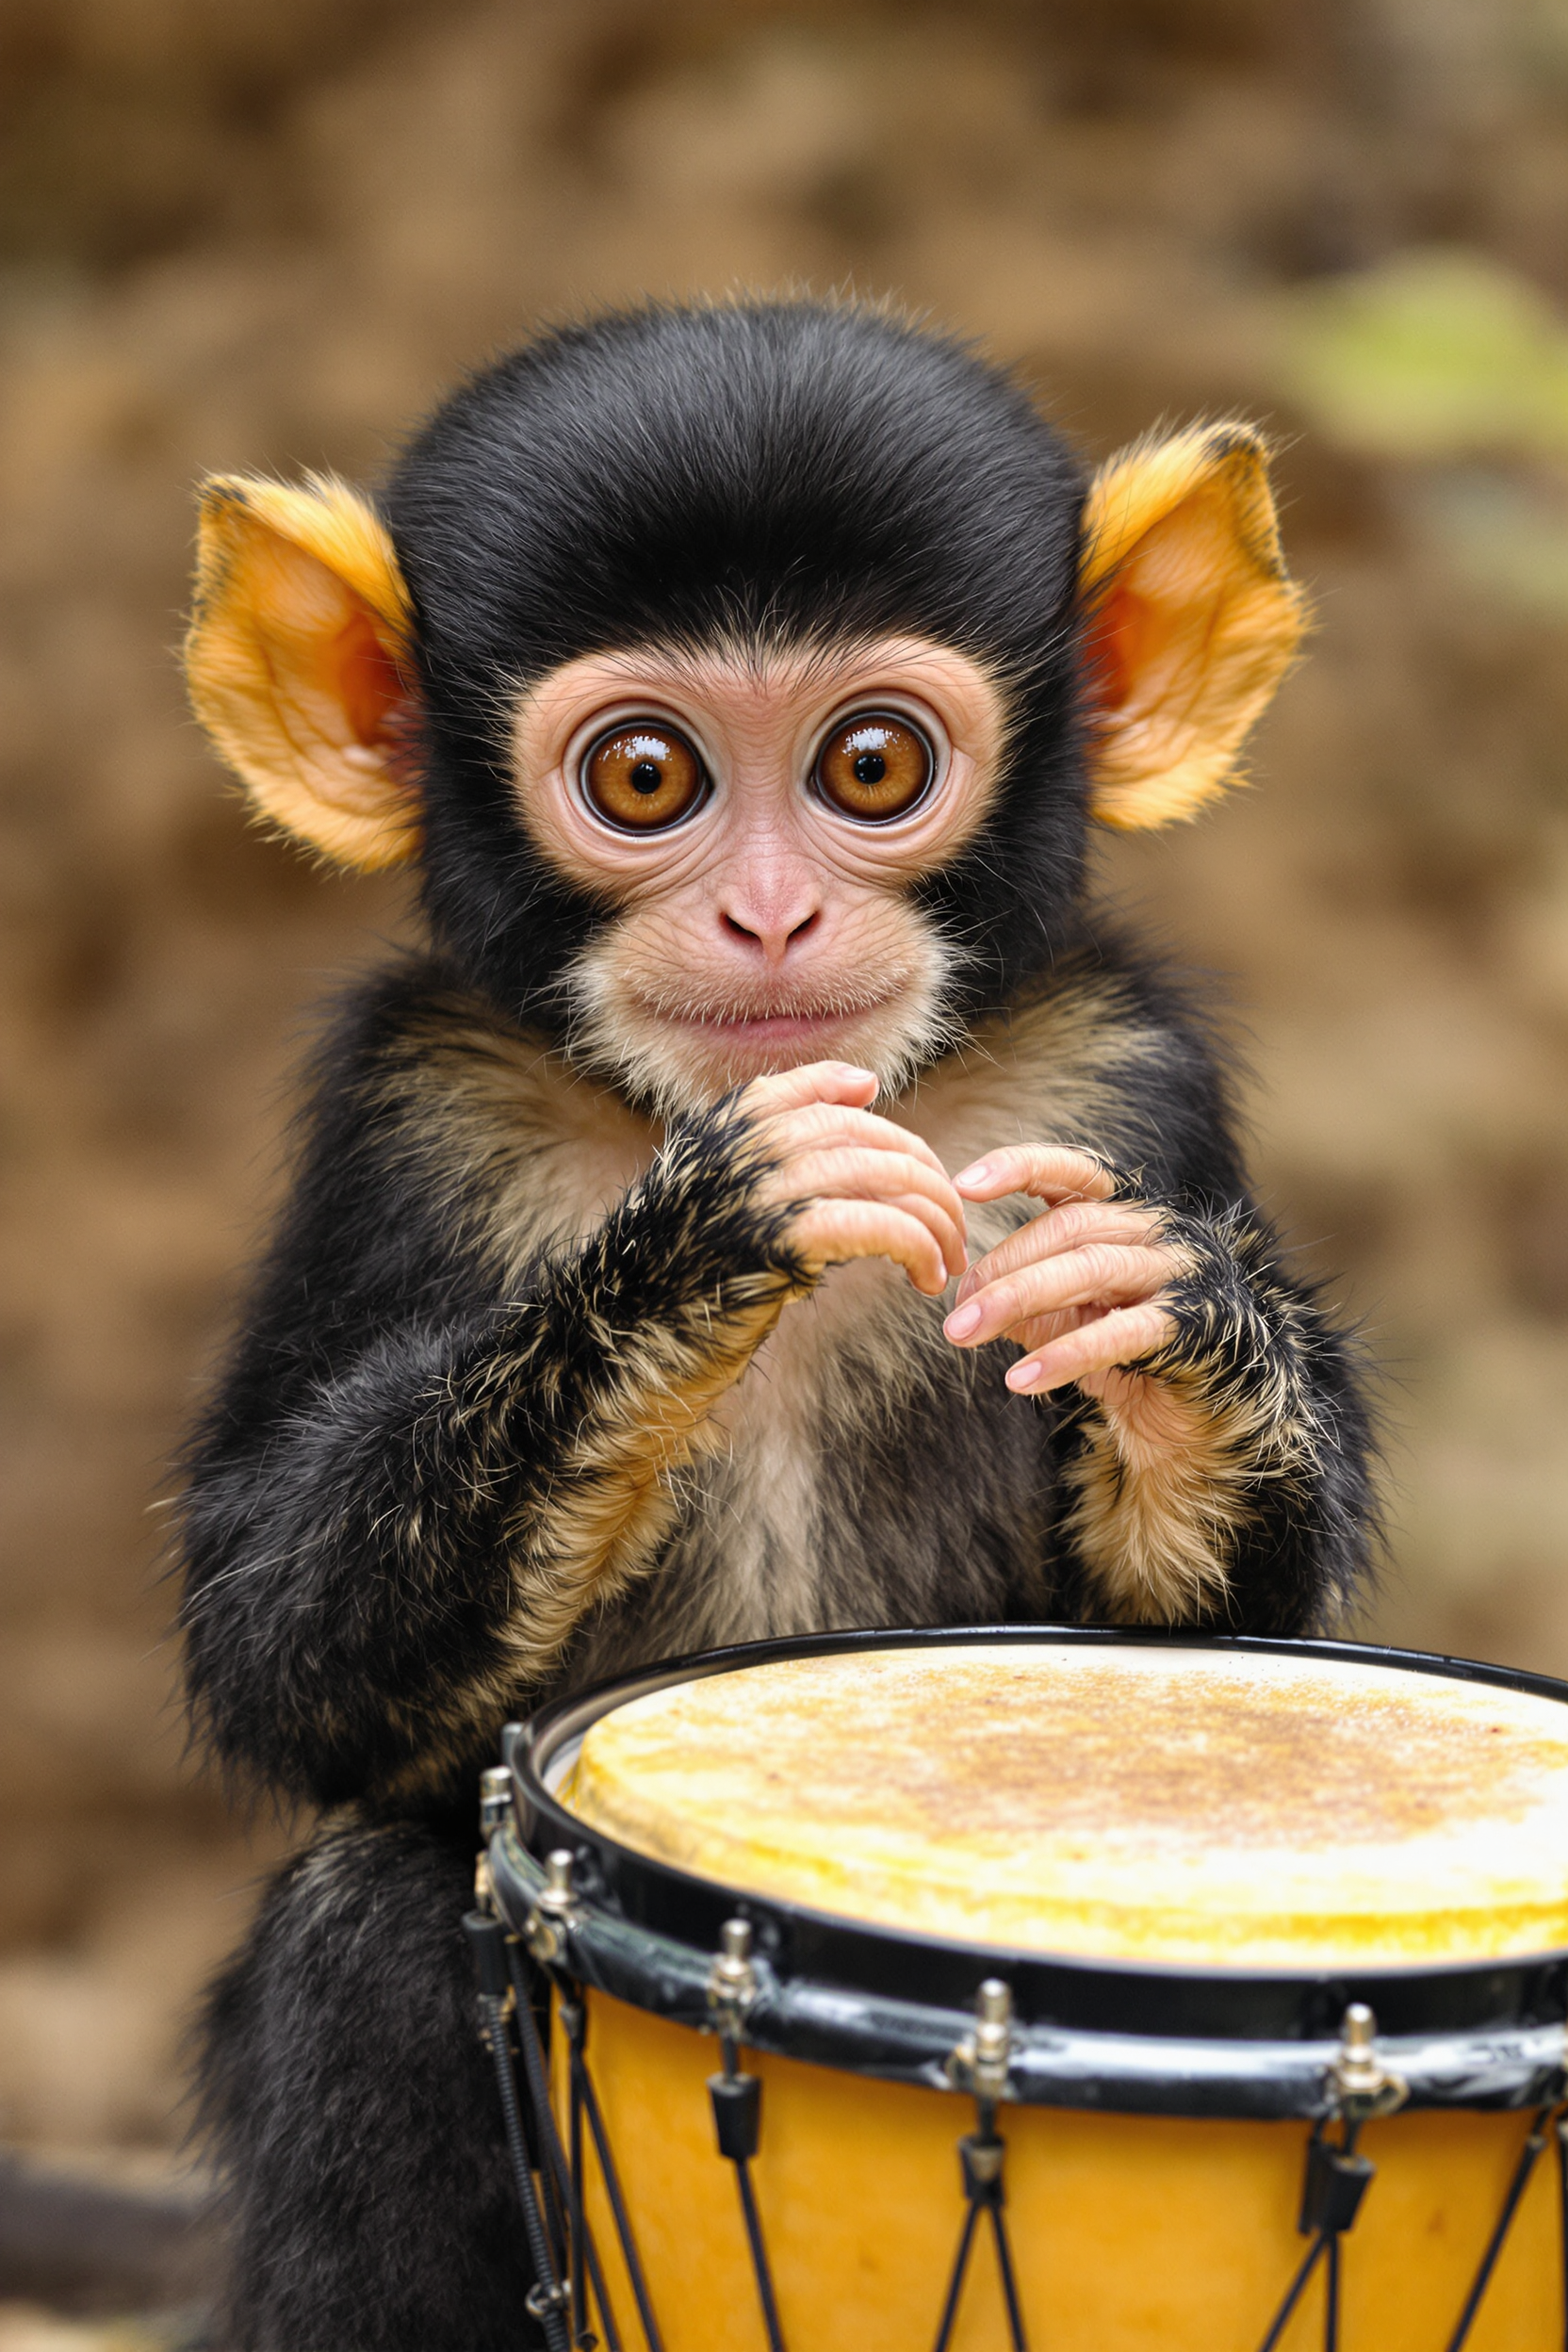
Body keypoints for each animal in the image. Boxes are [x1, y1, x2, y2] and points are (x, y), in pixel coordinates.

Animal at [176, 298, 1375, 2351]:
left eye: (871, 766)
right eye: (647, 779)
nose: (766, 917)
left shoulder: (1117, 1075)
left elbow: (1222, 1636)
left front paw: (1168, 1338)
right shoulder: (415, 1117)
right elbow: (272, 1645)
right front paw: (698, 1249)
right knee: (366, 1942)